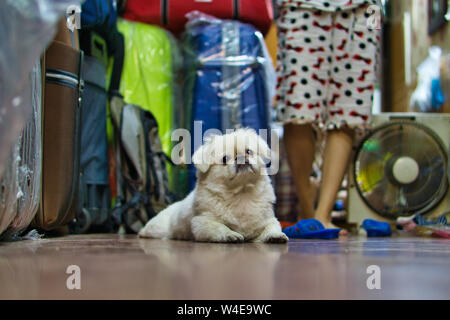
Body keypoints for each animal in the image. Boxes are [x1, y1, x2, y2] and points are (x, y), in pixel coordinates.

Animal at [139, 127, 288, 242]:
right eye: (224, 159)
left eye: (248, 151)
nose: (240, 157)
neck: (242, 194)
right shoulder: (202, 222)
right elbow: (220, 227)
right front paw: (230, 235)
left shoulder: (268, 220)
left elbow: (272, 227)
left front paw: (275, 236)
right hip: (157, 229)